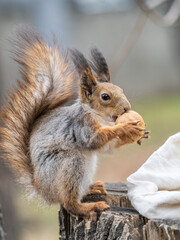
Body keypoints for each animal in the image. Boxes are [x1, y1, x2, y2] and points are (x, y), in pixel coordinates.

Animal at [0, 27, 146, 220]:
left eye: (121, 90)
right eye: (105, 97)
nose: (126, 108)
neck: (100, 117)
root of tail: (43, 191)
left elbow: (106, 147)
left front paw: (138, 134)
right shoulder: (81, 126)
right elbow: (95, 140)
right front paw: (125, 127)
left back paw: (92, 188)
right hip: (70, 164)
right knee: (69, 202)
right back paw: (88, 207)